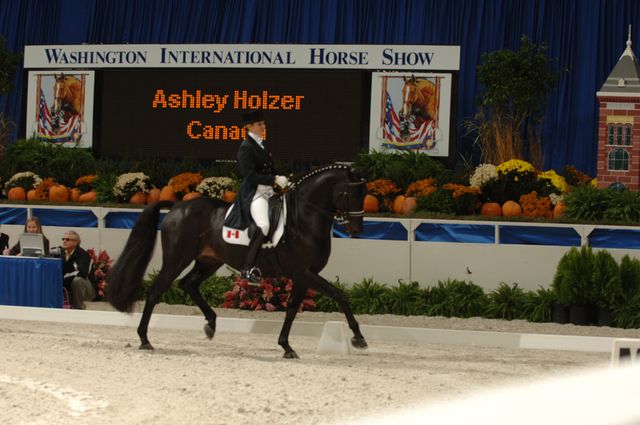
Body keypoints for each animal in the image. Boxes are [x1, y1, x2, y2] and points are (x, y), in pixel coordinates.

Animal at [109, 164, 368, 356]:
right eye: (350, 194)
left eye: (364, 195)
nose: (356, 230)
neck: (303, 220)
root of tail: (177, 206)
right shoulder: (304, 273)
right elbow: (340, 296)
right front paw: (358, 338)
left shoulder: (303, 276)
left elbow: (292, 309)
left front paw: (286, 346)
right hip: (176, 260)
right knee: (155, 292)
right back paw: (145, 339)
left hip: (208, 261)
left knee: (188, 284)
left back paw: (211, 324)